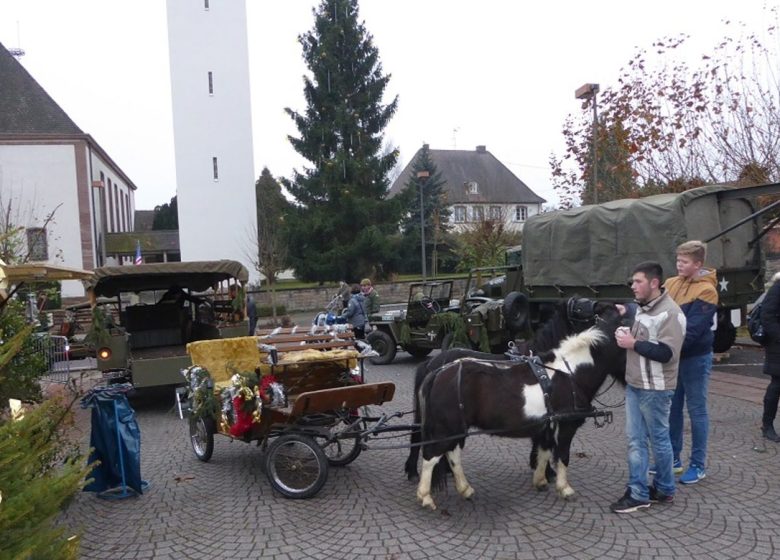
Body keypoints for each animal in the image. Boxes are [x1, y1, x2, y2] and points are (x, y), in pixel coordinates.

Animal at [414, 302, 628, 512]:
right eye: (579, 308)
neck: (569, 373)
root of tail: (437, 371)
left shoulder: (547, 427)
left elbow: (544, 453)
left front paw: (541, 480)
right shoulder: (566, 426)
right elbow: (563, 456)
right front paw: (565, 489)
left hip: (457, 428)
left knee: (453, 455)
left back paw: (465, 489)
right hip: (446, 429)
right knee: (431, 457)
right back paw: (426, 497)